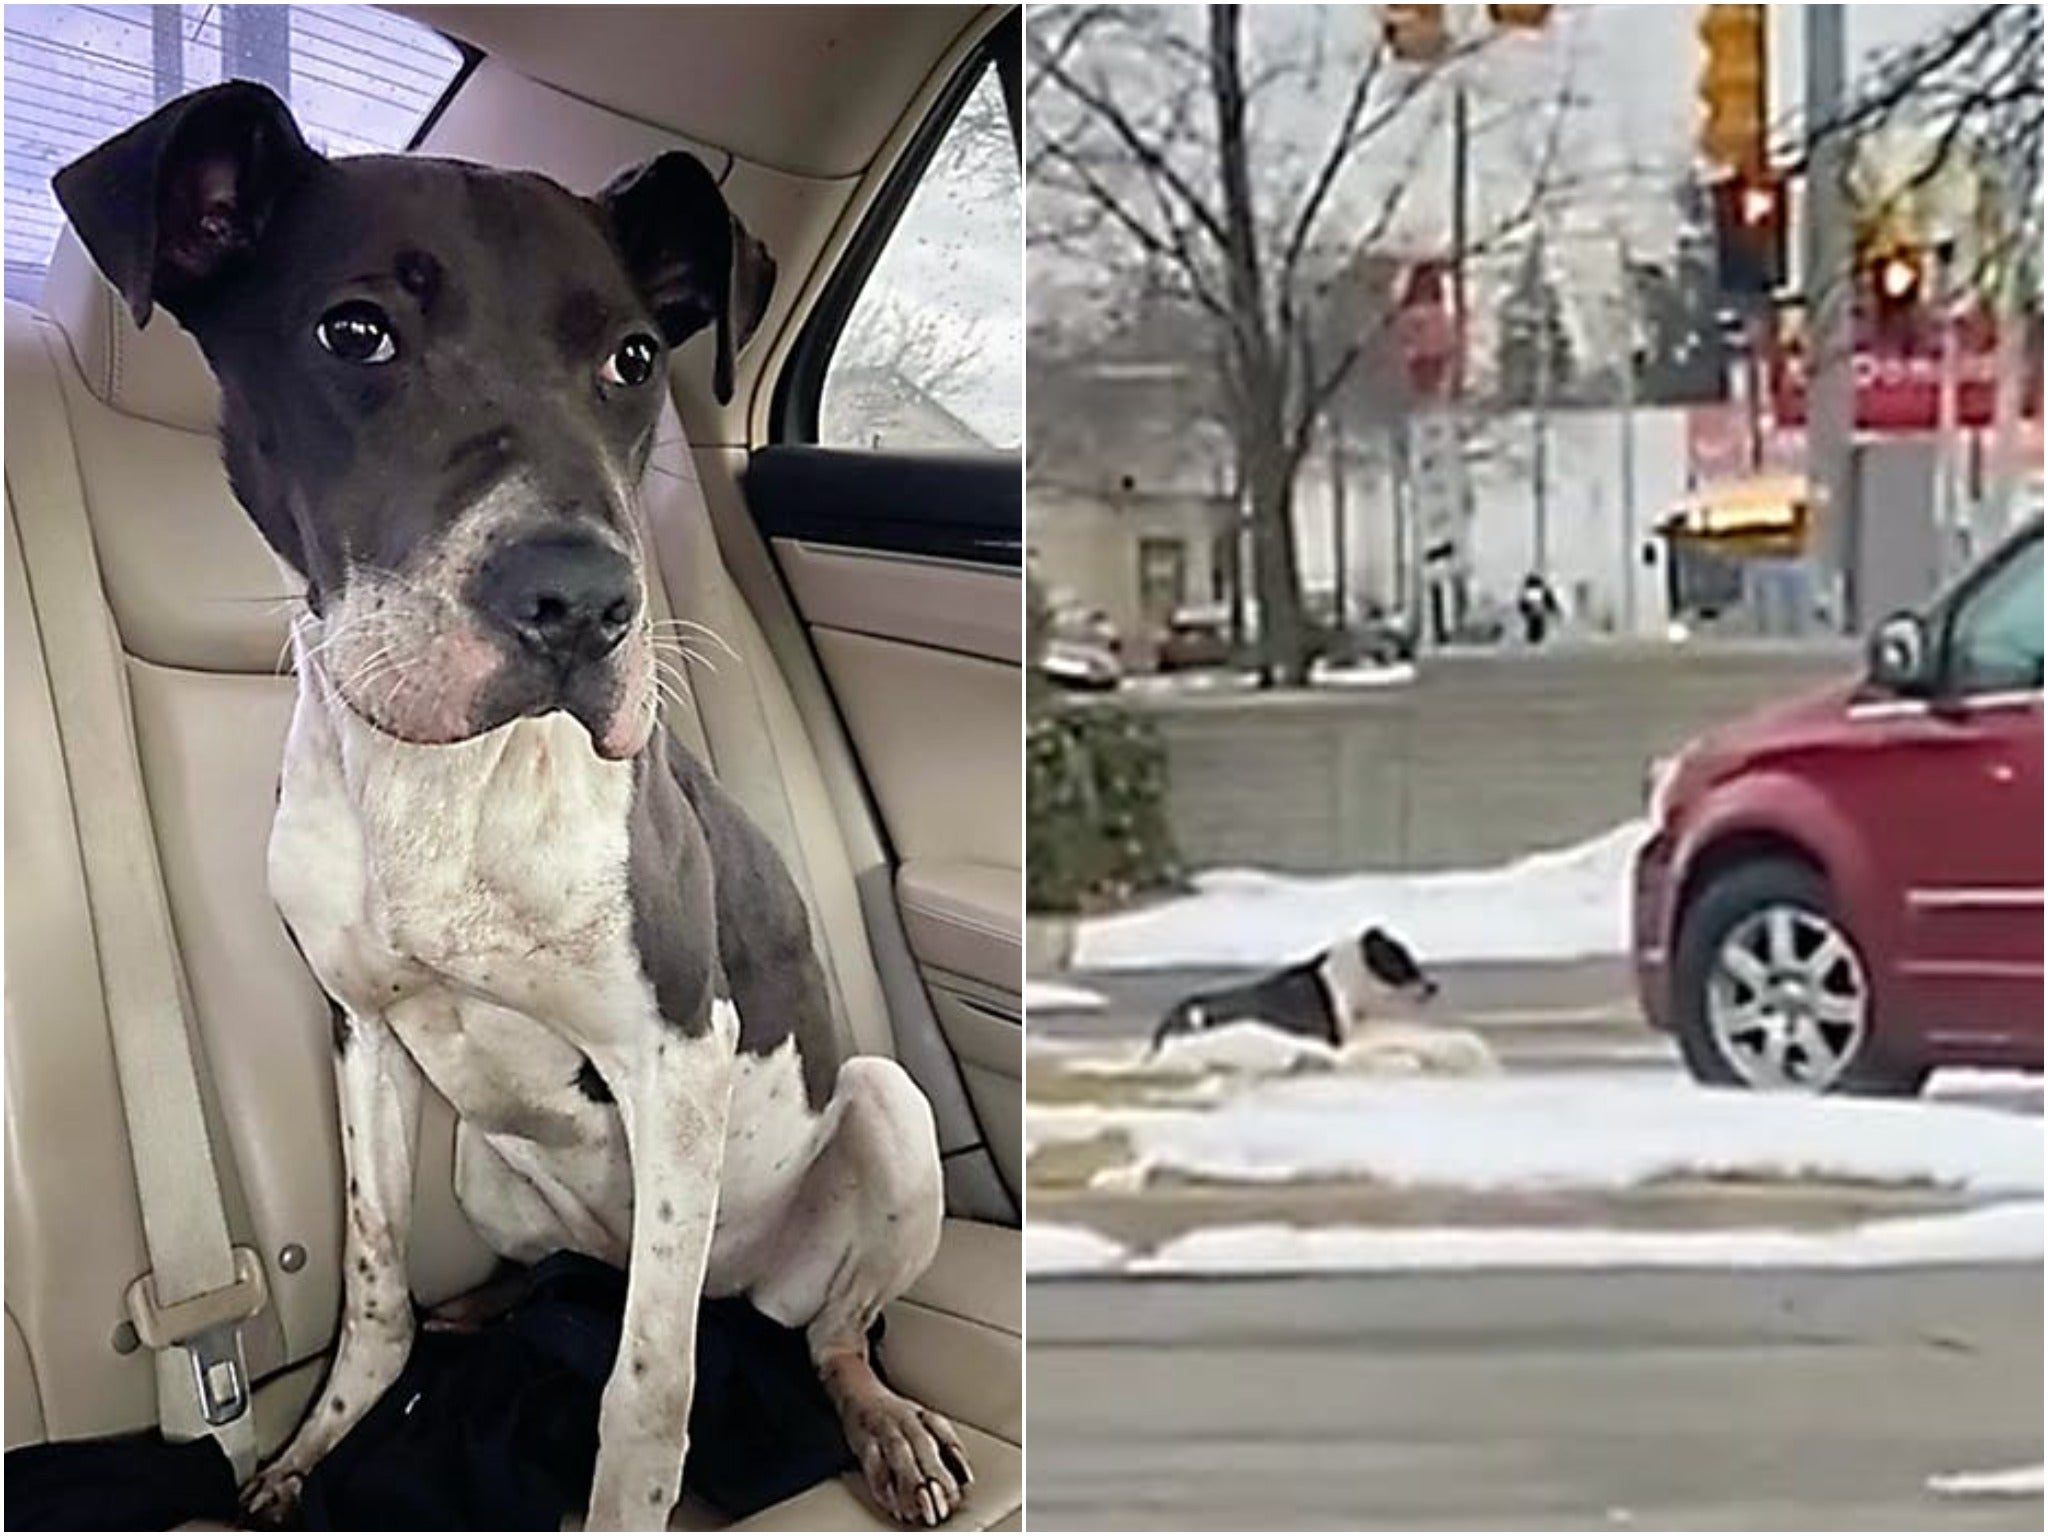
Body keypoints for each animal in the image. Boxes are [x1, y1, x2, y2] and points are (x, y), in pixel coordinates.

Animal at [56, 87, 966, 1536]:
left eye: (635, 357)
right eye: (355, 330)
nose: (586, 604)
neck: (448, 786)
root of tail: (739, 1288)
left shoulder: (680, 1048)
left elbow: (647, 1392)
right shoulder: (365, 1036)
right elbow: (374, 1289)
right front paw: (320, 1444)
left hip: (884, 1113)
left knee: (828, 1332)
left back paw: (882, 1423)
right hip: (491, 1168)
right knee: (556, 1281)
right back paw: (487, 1312)